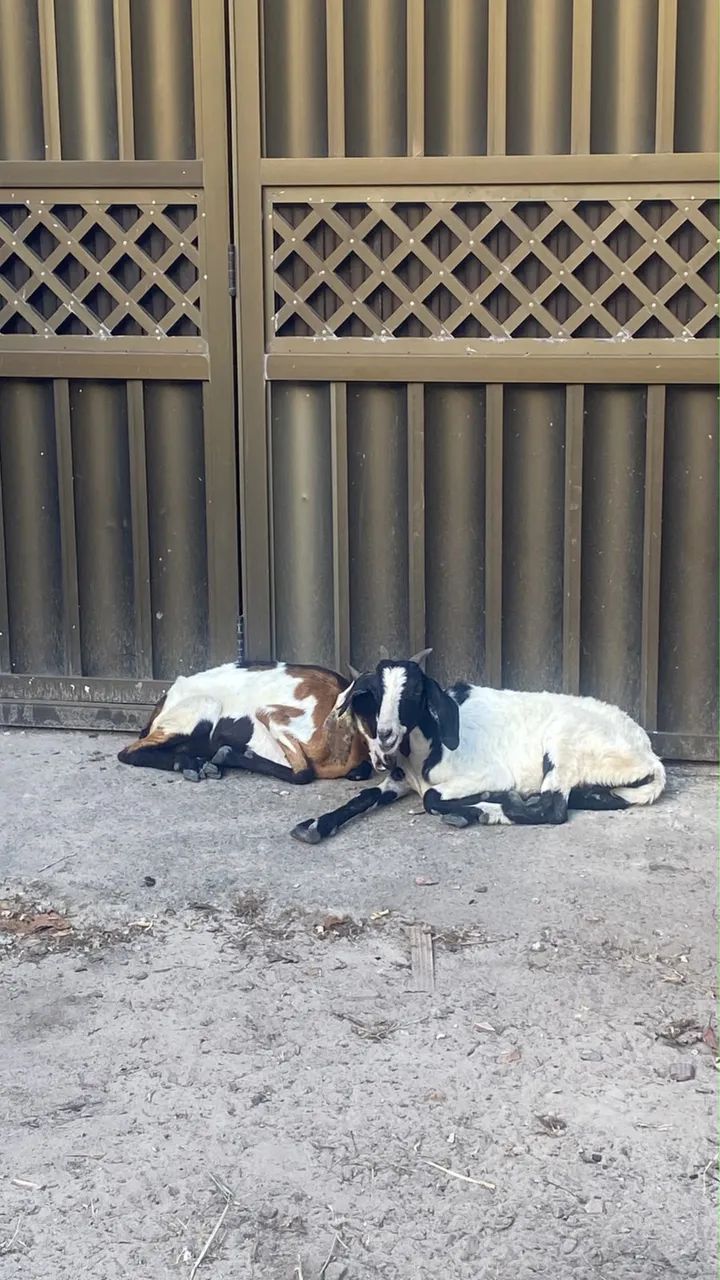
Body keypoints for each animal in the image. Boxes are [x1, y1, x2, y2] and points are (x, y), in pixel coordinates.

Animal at [118, 660, 372, 785]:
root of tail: (167, 696)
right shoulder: (271, 715)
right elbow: (304, 773)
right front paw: (229, 754)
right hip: (203, 708)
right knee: (127, 753)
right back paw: (193, 764)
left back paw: (195, 762)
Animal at [291, 650, 666, 843]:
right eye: (375, 696)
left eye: (414, 694)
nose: (385, 735)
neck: (426, 751)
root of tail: (649, 756)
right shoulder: (399, 780)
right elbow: (365, 795)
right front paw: (314, 826)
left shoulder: (489, 773)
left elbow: (431, 797)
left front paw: (475, 804)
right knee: (596, 798)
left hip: (563, 745)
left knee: (554, 808)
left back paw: (488, 810)